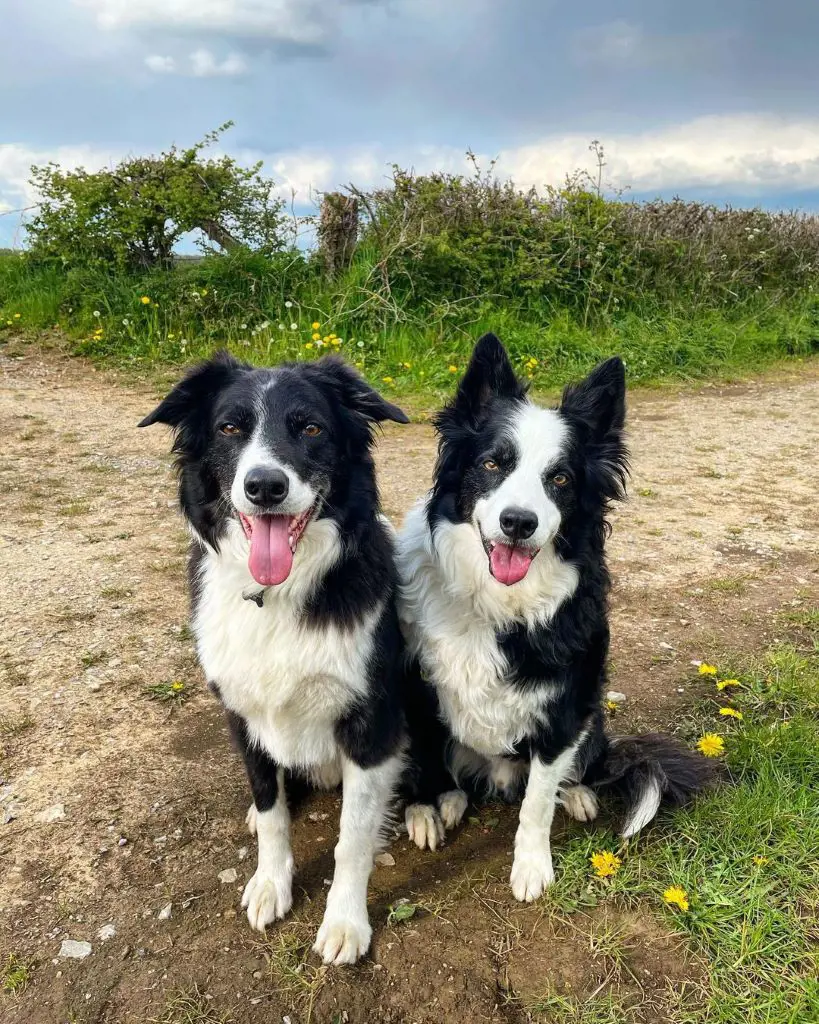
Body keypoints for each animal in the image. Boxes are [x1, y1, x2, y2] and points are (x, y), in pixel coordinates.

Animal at [141, 352, 413, 958]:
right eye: (229, 428)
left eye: (310, 428)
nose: (265, 485)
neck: (279, 594)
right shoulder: (243, 714)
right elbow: (271, 811)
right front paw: (271, 883)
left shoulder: (370, 721)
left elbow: (352, 838)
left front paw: (345, 921)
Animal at [399, 333, 712, 897]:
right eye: (493, 463)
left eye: (560, 478)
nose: (518, 523)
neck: (496, 600)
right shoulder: (414, 685)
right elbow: (425, 762)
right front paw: (424, 809)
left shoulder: (566, 707)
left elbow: (537, 803)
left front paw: (530, 867)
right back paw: (448, 802)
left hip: (592, 717)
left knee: (572, 771)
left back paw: (579, 793)